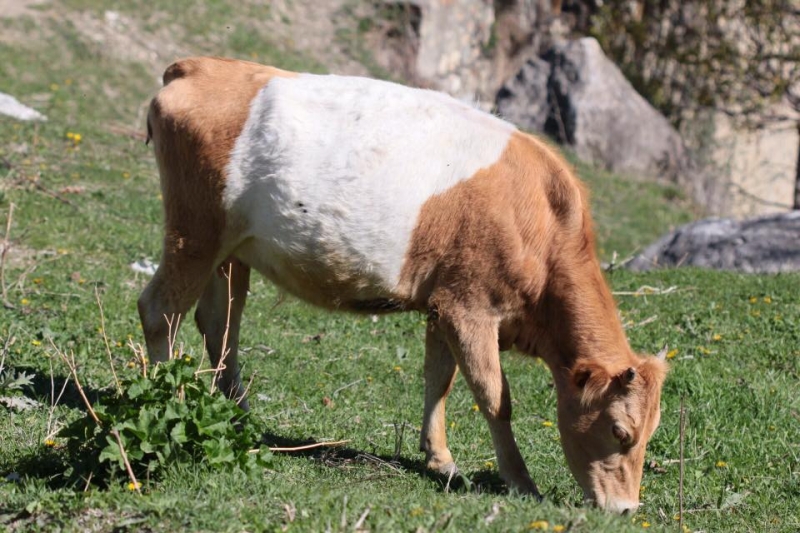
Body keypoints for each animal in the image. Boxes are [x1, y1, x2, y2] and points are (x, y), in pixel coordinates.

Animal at [139, 56, 668, 510]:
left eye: (649, 433)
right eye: (620, 432)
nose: (625, 508)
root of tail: (198, 66)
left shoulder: (442, 303)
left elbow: (440, 378)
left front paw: (441, 459)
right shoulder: (469, 306)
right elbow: (495, 397)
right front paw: (521, 482)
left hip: (232, 251)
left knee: (218, 323)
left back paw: (239, 414)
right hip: (195, 232)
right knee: (160, 310)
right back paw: (165, 399)